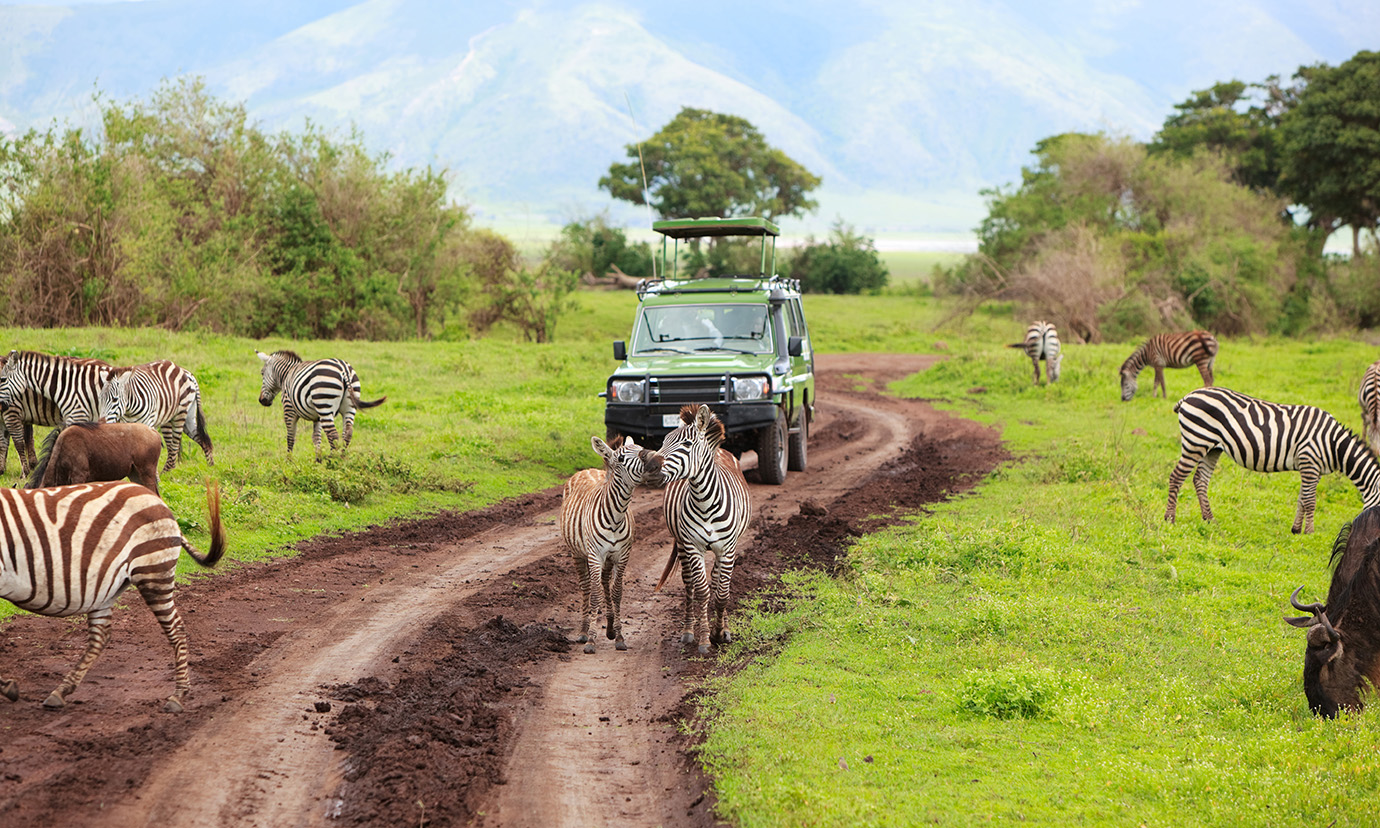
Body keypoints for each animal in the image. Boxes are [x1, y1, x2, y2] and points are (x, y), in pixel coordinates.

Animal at [0, 477, 226, 712]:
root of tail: (156, 499)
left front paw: (7, 687)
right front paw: (8, 687)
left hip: (153, 571)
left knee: (176, 628)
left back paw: (178, 695)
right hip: (105, 588)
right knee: (101, 635)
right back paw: (60, 692)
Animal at [255, 346, 386, 455]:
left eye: (262, 373)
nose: (261, 400)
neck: (287, 374)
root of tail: (344, 369)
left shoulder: (289, 410)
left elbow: (291, 437)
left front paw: (289, 461)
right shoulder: (317, 416)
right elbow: (316, 438)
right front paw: (317, 461)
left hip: (325, 405)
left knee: (333, 435)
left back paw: (332, 461)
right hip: (349, 406)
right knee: (347, 433)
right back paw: (342, 458)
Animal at [560, 433, 667, 654]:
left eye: (641, 448)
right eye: (621, 459)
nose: (657, 462)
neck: (616, 516)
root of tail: (587, 470)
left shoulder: (621, 556)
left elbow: (617, 593)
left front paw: (619, 636)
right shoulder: (595, 555)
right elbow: (594, 595)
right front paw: (591, 640)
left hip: (607, 560)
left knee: (604, 583)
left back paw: (608, 628)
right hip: (578, 553)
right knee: (586, 587)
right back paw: (583, 631)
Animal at [656, 402, 756, 656]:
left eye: (686, 445)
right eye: (664, 441)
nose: (651, 465)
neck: (705, 501)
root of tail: (720, 450)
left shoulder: (727, 548)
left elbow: (722, 593)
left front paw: (720, 632)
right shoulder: (693, 546)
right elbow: (702, 591)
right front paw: (704, 639)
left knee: (718, 580)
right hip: (682, 545)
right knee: (690, 583)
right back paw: (688, 631)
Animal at [1164, 389, 1380, 538]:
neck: (1333, 444)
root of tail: (1189, 395)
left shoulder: (1312, 468)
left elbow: (1302, 499)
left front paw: (1296, 530)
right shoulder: (1309, 461)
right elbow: (1310, 501)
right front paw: (1309, 532)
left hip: (1211, 448)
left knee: (1200, 479)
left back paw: (1210, 520)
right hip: (1196, 441)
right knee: (1176, 476)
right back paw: (1170, 519)